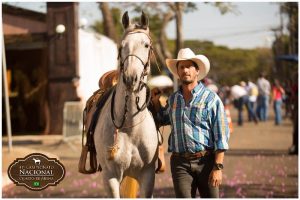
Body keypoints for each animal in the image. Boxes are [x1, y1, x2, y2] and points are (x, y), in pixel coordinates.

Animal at [94, 11, 159, 198]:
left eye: (146, 45)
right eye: (121, 46)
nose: (131, 78)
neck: (130, 128)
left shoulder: (148, 175)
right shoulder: (110, 176)